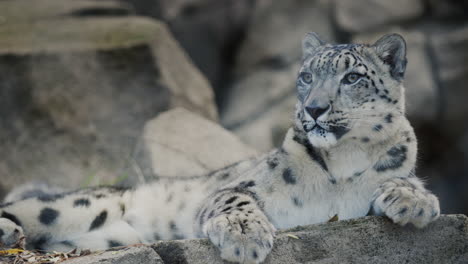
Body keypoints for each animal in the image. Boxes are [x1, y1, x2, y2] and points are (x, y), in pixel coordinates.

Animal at [0, 33, 438, 264]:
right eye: (306, 76)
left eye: (352, 78)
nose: (314, 108)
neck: (344, 161)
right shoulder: (238, 187)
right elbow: (233, 198)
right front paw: (245, 236)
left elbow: (408, 181)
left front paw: (413, 202)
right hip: (75, 205)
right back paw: (10, 229)